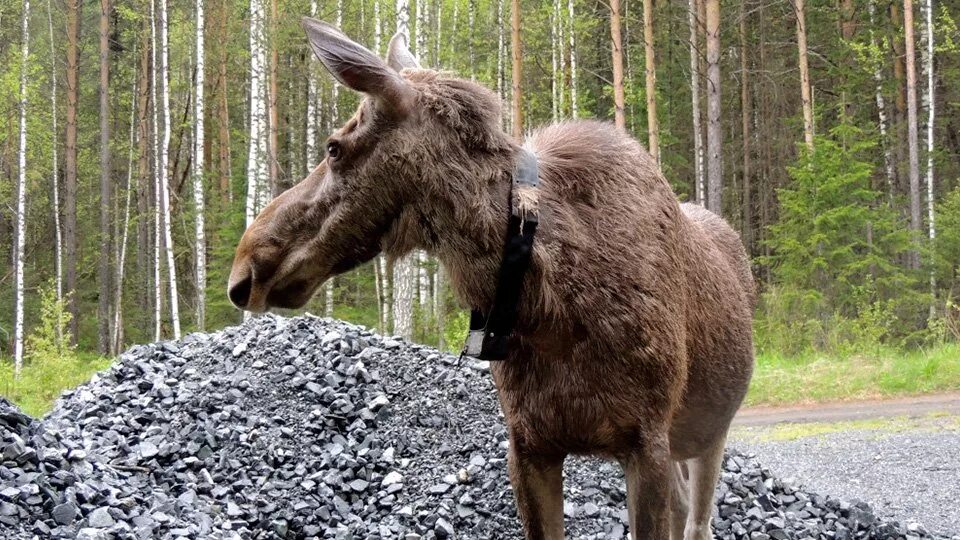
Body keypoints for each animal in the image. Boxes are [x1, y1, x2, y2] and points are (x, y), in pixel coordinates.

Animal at [229, 17, 752, 540]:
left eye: (334, 147)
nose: (244, 271)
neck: (552, 311)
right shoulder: (528, 443)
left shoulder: (646, 440)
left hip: (709, 433)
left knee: (698, 518)